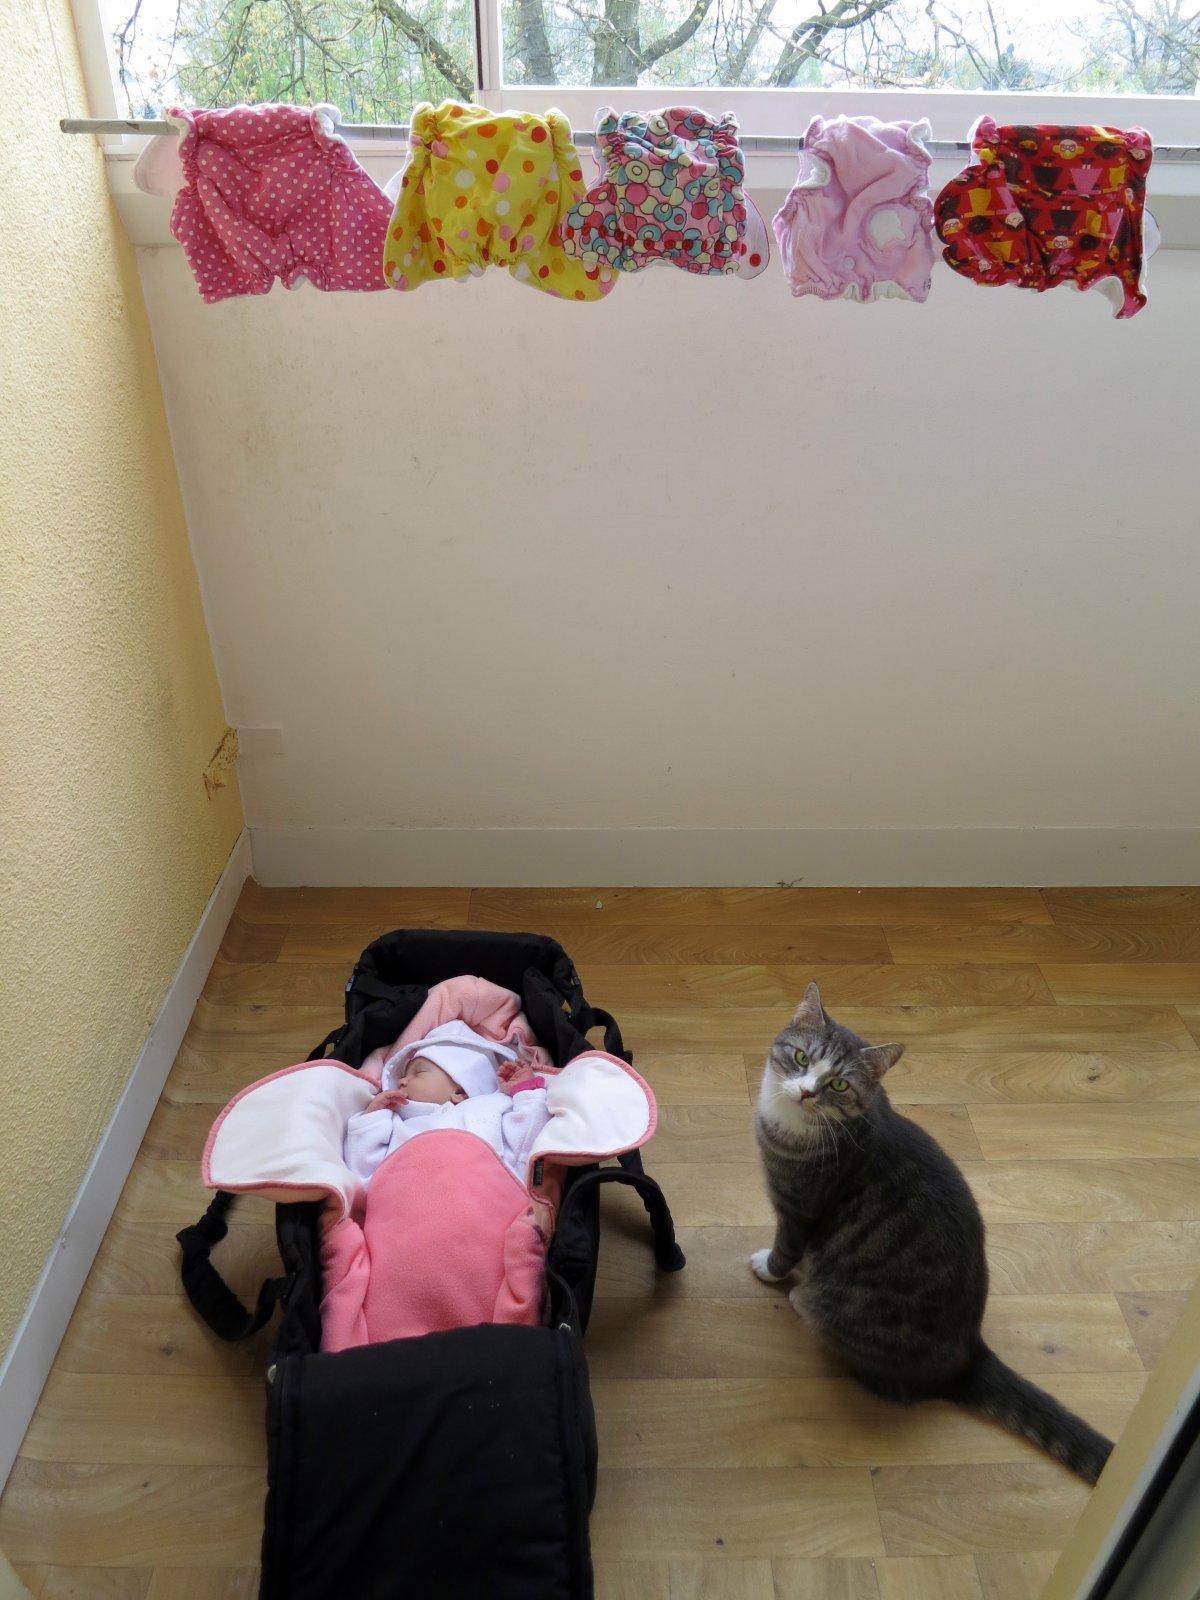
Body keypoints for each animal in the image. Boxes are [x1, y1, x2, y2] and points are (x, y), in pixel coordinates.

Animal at [751, 980, 1112, 1485]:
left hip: (836, 1311)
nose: (806, 1093)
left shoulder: (801, 1208)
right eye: (802, 1058)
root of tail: (968, 1357)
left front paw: (767, 1268)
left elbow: (786, 1247)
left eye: (839, 1084)